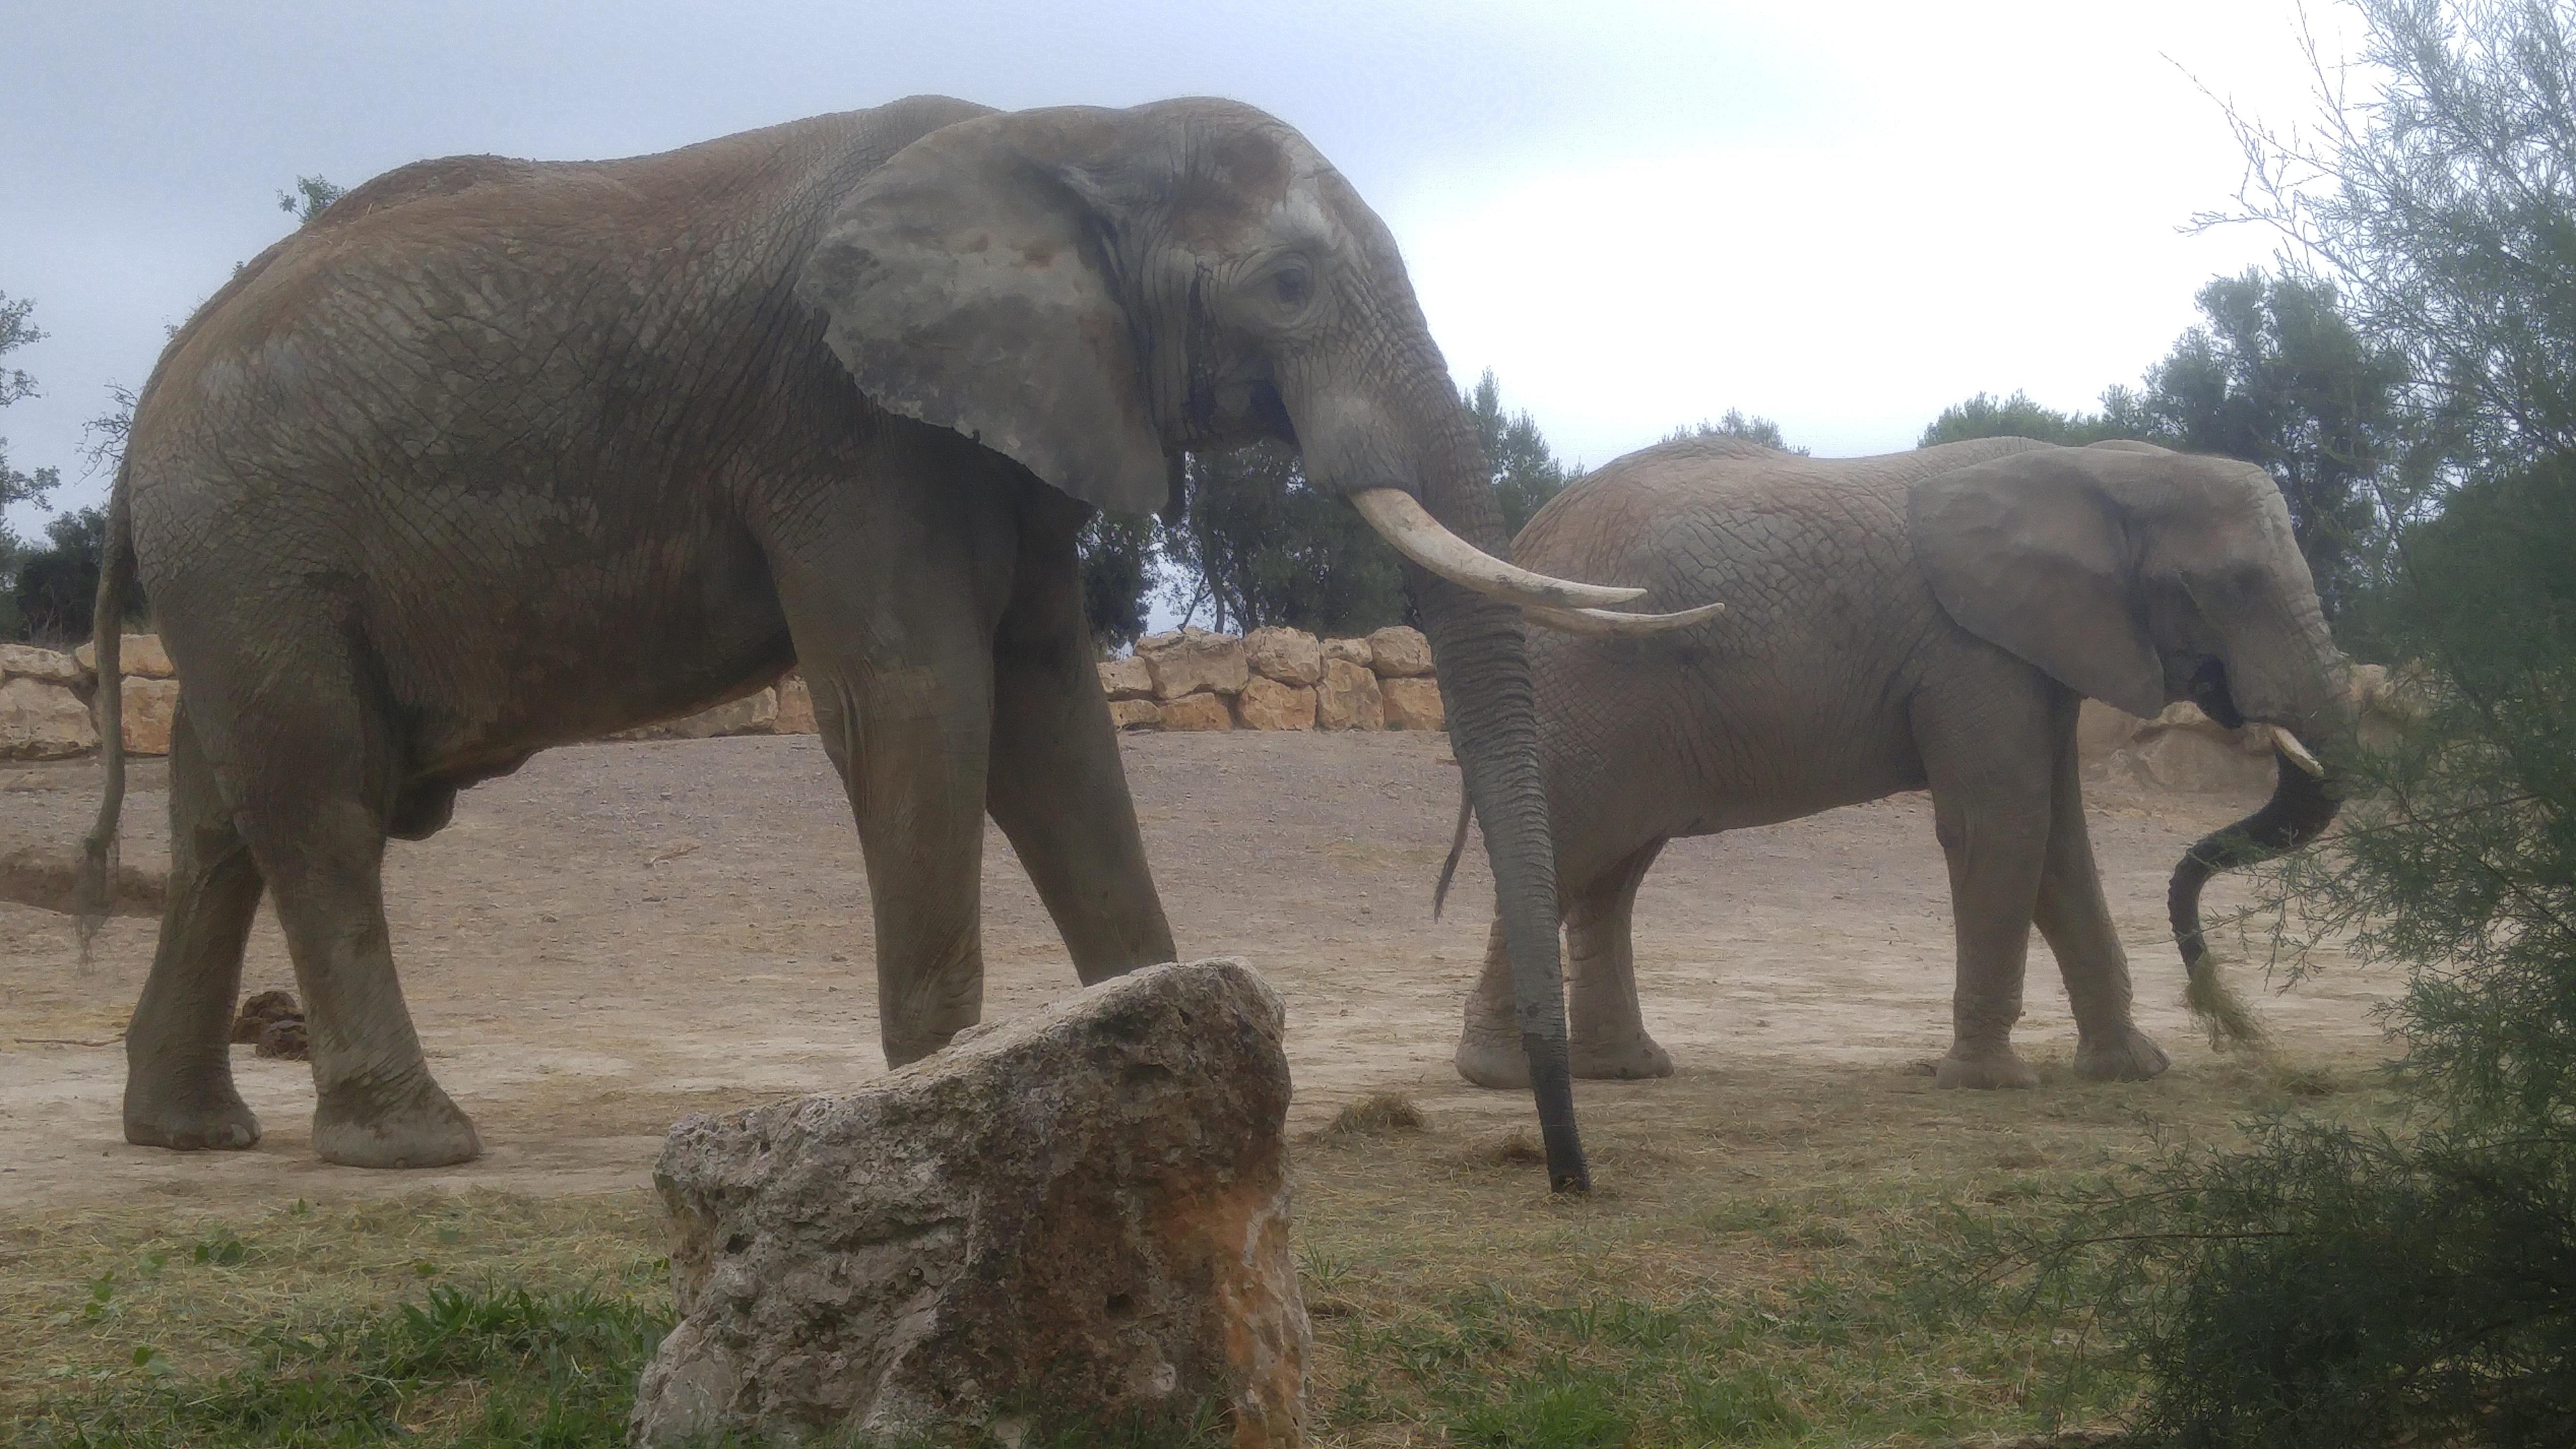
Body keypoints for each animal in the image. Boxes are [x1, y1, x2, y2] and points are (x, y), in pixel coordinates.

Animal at [75, 96, 1690, 1175]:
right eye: (1290, 285)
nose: (1562, 1169)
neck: (1075, 133)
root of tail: (145, 411)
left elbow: (1051, 719)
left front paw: (1185, 1064)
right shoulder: (844, 426)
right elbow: (922, 700)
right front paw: (946, 1100)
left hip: (236, 569)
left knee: (218, 821)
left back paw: (192, 1135)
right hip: (259, 544)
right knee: (321, 806)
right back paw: (412, 1146)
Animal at [1463, 433, 2349, 1088]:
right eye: (2233, 584)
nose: (2221, 1007)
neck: (2099, 465)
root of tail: (1527, 538)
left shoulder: (2037, 651)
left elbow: (2060, 838)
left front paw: (2132, 1070)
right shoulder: (1970, 651)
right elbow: (2003, 824)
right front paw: (1990, 1082)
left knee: (1613, 868)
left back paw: (1628, 1069)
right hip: (1589, 685)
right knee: (1573, 846)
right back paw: (1503, 1075)